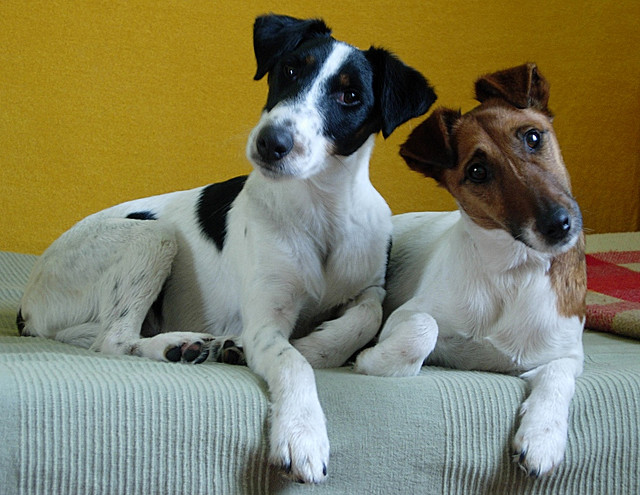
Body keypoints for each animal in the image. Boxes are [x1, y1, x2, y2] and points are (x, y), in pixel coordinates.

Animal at [17, 14, 438, 484]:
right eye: (290, 69)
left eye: (350, 96)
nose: (271, 142)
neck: (320, 213)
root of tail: (28, 305)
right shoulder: (265, 324)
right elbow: (293, 361)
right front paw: (303, 432)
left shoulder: (369, 287)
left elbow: (368, 314)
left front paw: (320, 346)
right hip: (152, 236)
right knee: (111, 339)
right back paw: (178, 345)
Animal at [356, 64, 584, 478]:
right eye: (478, 171)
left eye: (533, 137)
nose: (558, 225)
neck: (512, 273)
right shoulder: (406, 315)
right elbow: (422, 331)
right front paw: (369, 361)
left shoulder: (567, 353)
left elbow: (558, 378)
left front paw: (543, 438)